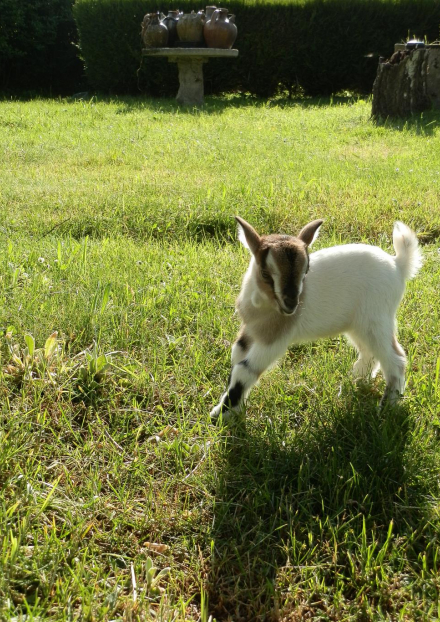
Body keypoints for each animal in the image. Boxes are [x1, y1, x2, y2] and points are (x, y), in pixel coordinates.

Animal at [211, 216, 422, 424]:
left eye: (306, 271)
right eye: (265, 273)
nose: (291, 305)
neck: (262, 305)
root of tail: (397, 265)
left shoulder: (274, 339)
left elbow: (244, 370)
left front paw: (220, 415)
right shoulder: (251, 329)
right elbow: (236, 356)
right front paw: (235, 408)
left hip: (376, 319)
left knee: (396, 359)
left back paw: (386, 409)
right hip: (360, 325)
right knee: (369, 353)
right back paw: (354, 382)